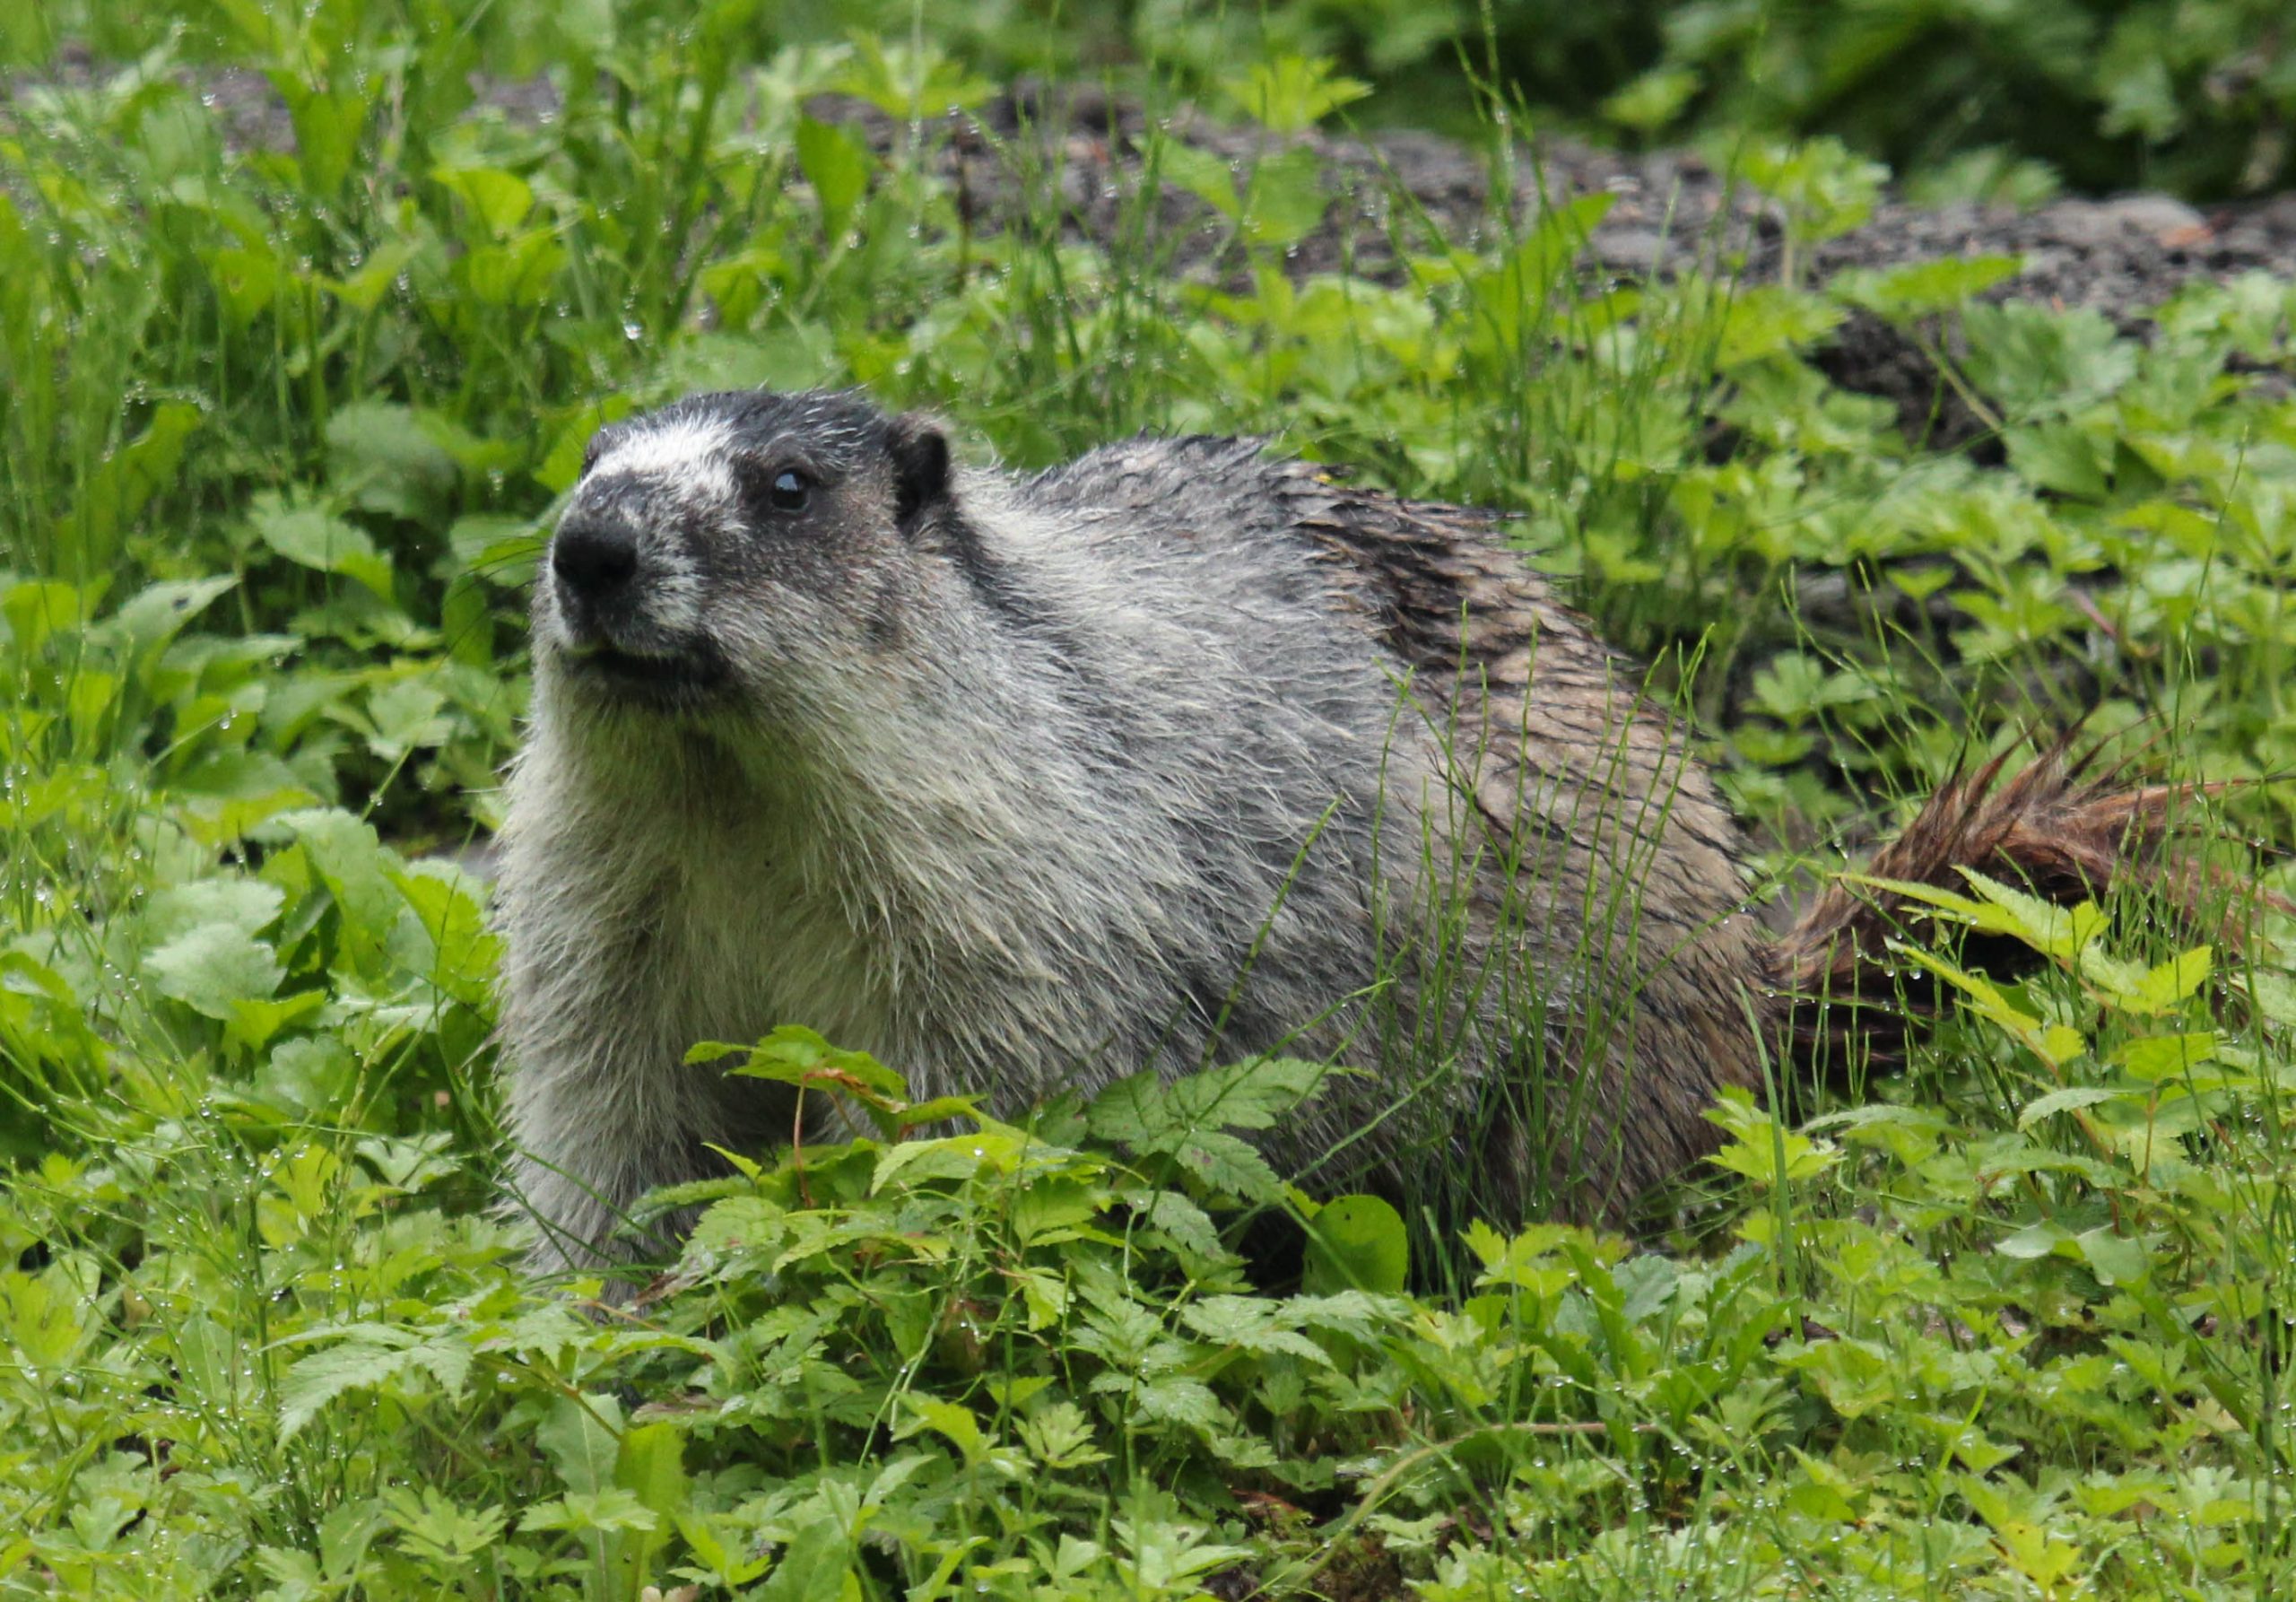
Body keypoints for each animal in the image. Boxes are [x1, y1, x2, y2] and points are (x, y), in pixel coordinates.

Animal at [495, 388, 2204, 1275]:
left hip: (1601, 1037)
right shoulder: (601, 897)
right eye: (582, 464)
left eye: (786, 485)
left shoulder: (1013, 881)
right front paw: (605, 1305)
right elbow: (604, 1094)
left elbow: (964, 1093)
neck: (729, 795)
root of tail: (1751, 973)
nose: (589, 548)